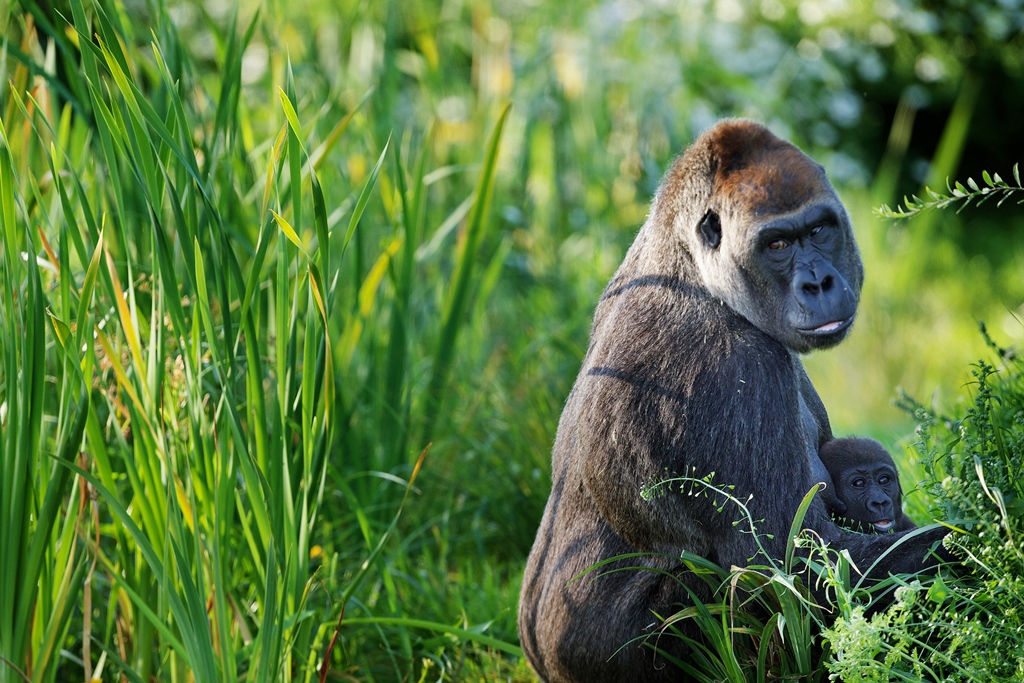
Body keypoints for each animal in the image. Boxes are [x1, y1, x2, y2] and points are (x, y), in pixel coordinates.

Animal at [520, 120, 942, 679]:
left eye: (819, 230)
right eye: (778, 243)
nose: (820, 282)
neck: (690, 267)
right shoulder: (731, 367)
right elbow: (793, 570)